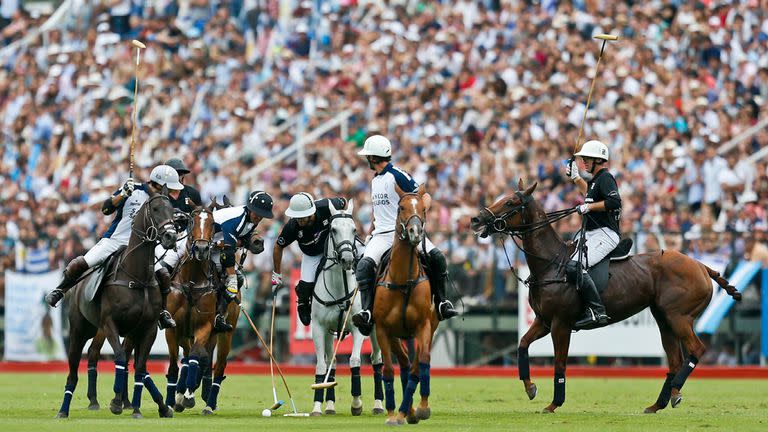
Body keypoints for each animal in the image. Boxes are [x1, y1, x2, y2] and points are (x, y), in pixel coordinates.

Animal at [54, 188, 177, 418]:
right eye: (156, 209)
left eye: (173, 210)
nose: (171, 236)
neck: (137, 276)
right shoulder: (111, 323)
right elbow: (120, 358)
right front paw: (117, 402)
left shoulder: (146, 329)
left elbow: (140, 368)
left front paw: (137, 408)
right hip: (78, 330)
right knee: (73, 370)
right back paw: (63, 410)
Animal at [308, 199, 384, 416]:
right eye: (333, 230)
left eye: (354, 229)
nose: (348, 259)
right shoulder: (319, 328)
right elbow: (322, 365)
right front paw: (318, 406)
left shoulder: (358, 328)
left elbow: (355, 361)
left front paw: (357, 403)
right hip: (330, 333)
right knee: (331, 362)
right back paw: (330, 406)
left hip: (374, 329)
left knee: (377, 360)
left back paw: (378, 404)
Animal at [374, 186, 438, 426]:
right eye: (401, 207)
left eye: (424, 209)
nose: (415, 232)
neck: (402, 280)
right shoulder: (382, 329)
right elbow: (388, 370)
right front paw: (393, 414)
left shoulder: (424, 326)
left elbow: (421, 364)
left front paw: (422, 408)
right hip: (394, 335)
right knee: (401, 364)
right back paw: (404, 411)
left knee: (413, 365)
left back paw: (411, 410)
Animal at [464, 181, 740, 414]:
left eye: (510, 202)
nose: (477, 218)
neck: (551, 264)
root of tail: (701, 265)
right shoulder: (543, 321)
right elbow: (522, 344)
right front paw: (531, 388)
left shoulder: (561, 324)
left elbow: (560, 363)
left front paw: (554, 404)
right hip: (664, 319)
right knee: (675, 361)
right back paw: (659, 403)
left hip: (679, 316)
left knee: (697, 349)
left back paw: (674, 393)